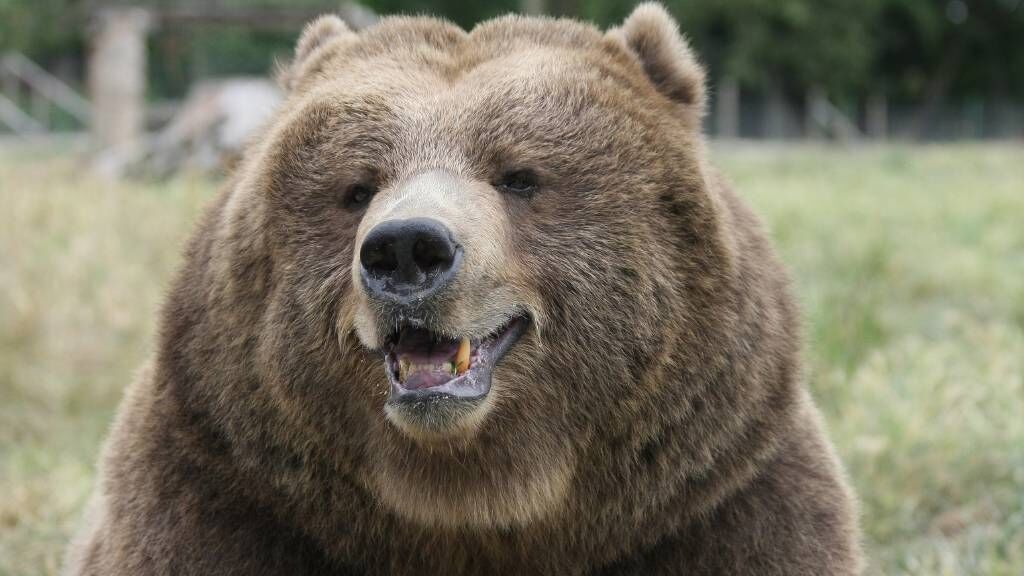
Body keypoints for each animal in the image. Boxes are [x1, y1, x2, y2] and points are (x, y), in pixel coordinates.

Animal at [64, 4, 862, 575]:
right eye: (359, 187)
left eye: (519, 175)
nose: (405, 249)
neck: (472, 503)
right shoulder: (224, 502)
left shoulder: (716, 506)